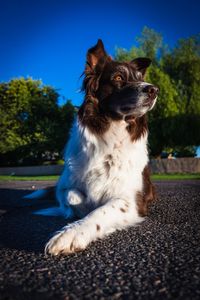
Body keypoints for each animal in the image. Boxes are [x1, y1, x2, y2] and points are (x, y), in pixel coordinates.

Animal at [26, 39, 158, 255]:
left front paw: (70, 234)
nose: (154, 90)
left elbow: (100, 212)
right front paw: (78, 208)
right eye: (118, 77)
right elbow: (72, 196)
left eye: (140, 78)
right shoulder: (64, 186)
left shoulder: (131, 201)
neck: (111, 137)